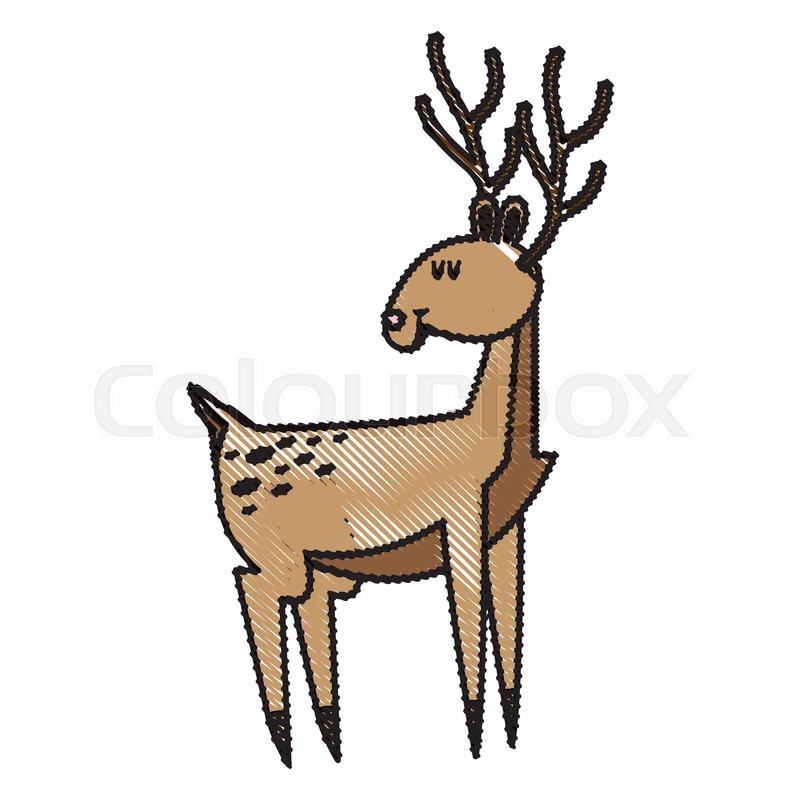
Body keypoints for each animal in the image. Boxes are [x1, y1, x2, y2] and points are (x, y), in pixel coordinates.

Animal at [188, 32, 613, 768]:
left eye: (451, 265)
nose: (395, 320)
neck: (490, 440)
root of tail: (226, 426)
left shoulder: (506, 531)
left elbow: (509, 647)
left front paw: (509, 737)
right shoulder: (460, 527)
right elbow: (468, 645)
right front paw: (475, 745)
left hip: (316, 568)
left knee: (307, 617)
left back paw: (327, 743)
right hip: (274, 555)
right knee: (251, 588)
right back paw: (287, 742)